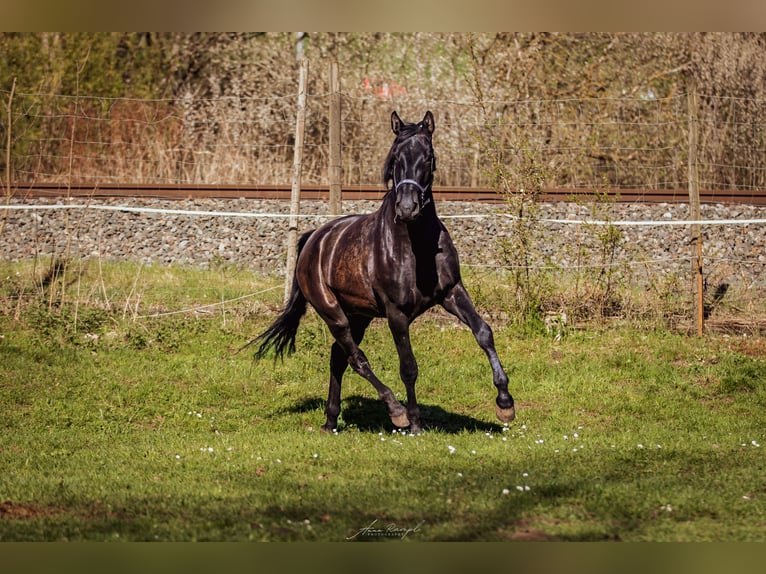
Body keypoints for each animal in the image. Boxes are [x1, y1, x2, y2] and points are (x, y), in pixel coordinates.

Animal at [254, 110, 515, 433]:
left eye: (428, 157)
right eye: (396, 157)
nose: (407, 208)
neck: (416, 247)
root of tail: (314, 239)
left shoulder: (452, 292)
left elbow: (483, 332)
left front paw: (505, 404)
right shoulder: (396, 313)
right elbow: (409, 367)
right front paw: (414, 422)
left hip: (359, 316)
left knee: (338, 357)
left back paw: (331, 421)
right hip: (334, 314)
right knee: (356, 358)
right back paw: (394, 410)